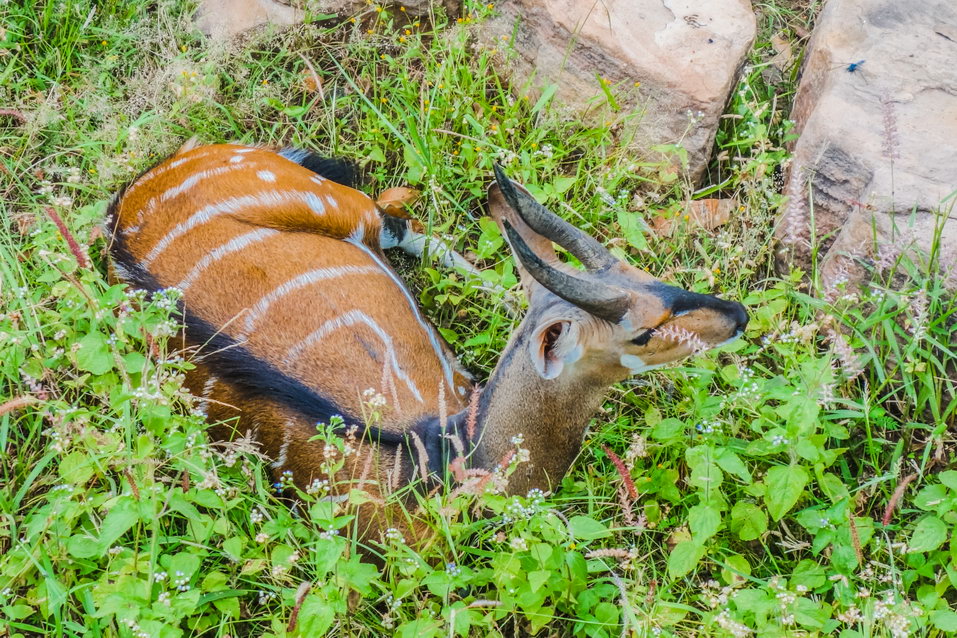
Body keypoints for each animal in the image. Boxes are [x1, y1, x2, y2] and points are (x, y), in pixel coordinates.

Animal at [104, 144, 748, 540]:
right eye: (644, 329)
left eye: (648, 274)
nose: (739, 314)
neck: (453, 459)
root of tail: (127, 201)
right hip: (340, 205)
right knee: (397, 216)